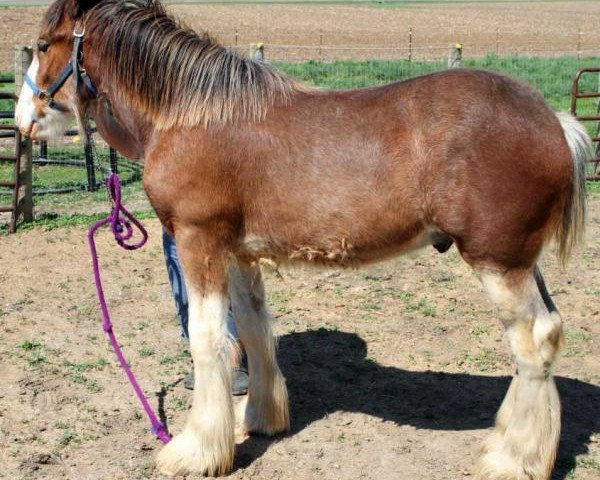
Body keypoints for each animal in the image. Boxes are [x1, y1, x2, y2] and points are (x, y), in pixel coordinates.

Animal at [15, 1, 592, 478]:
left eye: (43, 45)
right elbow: (251, 331)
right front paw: (260, 418)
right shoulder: (239, 253)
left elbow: (208, 339)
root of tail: (554, 122)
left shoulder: (199, 242)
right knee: (546, 336)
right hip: (522, 261)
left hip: (498, 261)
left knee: (534, 340)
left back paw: (513, 460)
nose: (22, 120)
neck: (190, 114)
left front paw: (195, 452)